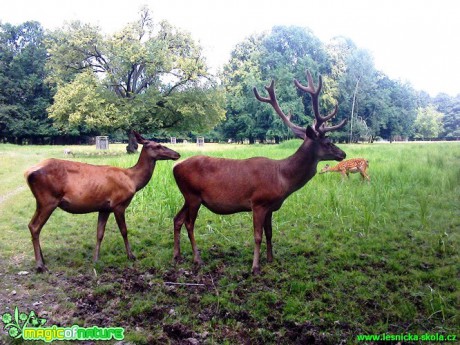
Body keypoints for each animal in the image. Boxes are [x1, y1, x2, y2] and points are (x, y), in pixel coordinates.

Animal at [24, 130, 180, 270]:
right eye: (158, 145)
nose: (177, 154)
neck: (133, 181)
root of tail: (27, 173)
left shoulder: (104, 208)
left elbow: (99, 234)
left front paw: (95, 259)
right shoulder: (118, 204)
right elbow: (124, 230)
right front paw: (131, 255)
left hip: (41, 201)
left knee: (31, 225)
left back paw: (42, 260)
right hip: (48, 200)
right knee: (35, 226)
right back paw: (40, 265)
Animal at [172, 70, 344, 274]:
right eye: (328, 142)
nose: (343, 153)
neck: (283, 178)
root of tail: (175, 168)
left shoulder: (271, 206)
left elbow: (269, 233)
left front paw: (270, 259)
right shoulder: (258, 203)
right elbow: (257, 236)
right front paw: (255, 267)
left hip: (188, 196)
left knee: (177, 219)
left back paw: (177, 256)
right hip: (193, 195)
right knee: (189, 223)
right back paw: (197, 259)